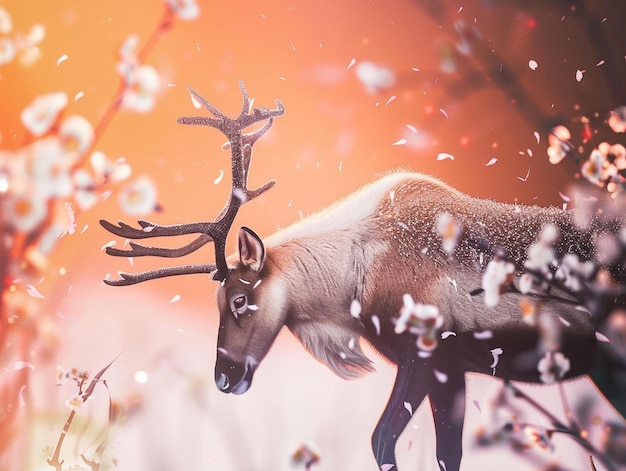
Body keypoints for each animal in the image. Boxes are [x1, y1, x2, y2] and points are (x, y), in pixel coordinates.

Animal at [100, 82, 620, 471]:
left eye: (239, 300)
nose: (224, 378)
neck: (353, 280)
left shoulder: (425, 355)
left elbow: (382, 440)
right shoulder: (452, 369)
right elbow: (445, 454)